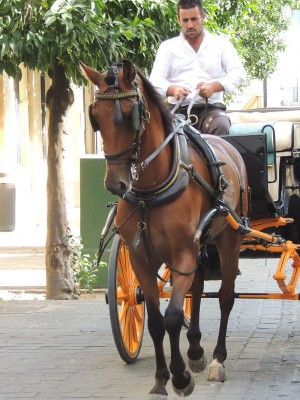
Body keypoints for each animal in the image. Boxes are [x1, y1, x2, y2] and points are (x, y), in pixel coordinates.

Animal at [79, 58, 248, 396]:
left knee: (225, 297)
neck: (150, 191)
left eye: (129, 115)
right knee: (196, 289)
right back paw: (195, 349)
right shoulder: (140, 259)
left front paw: (180, 377)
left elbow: (171, 317)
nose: (115, 184)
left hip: (228, 239)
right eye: (96, 118)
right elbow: (157, 320)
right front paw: (161, 378)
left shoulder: (183, 252)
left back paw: (216, 359)